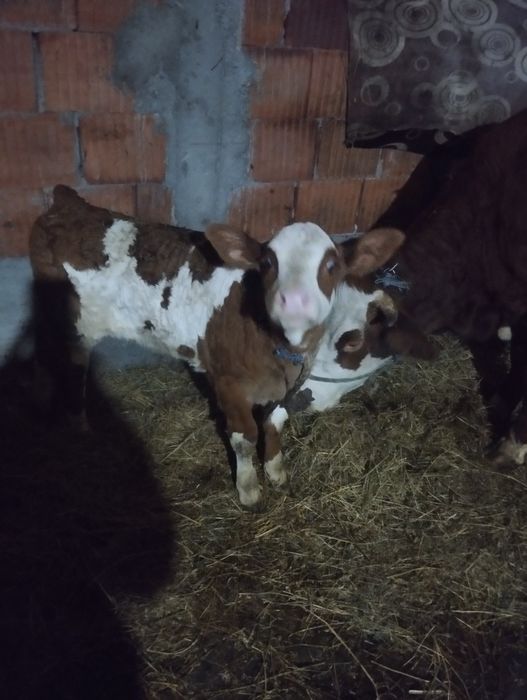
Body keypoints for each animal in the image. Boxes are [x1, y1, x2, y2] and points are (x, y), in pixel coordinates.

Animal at [29, 185, 404, 508]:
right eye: (268, 263)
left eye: (331, 266)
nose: (295, 301)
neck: (279, 348)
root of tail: (71, 203)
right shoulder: (228, 383)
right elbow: (245, 436)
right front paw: (249, 490)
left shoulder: (291, 384)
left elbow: (275, 423)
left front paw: (276, 472)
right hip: (71, 322)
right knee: (70, 368)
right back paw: (78, 427)